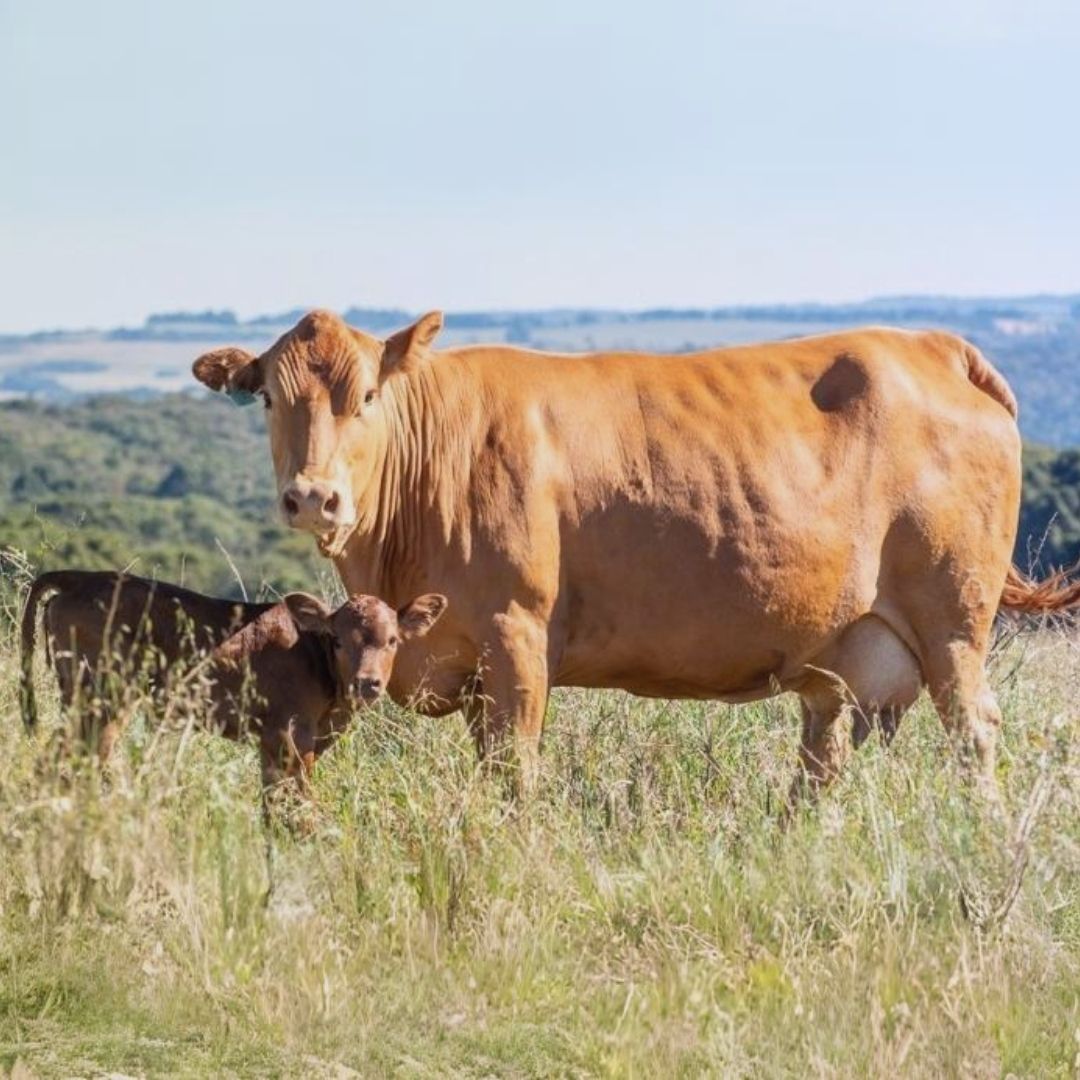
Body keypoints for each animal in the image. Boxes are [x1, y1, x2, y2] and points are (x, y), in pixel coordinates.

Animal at [20, 570, 446, 806]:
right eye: (338, 640)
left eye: (392, 640)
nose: (367, 682)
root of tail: (81, 578)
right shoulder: (287, 734)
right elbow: (298, 805)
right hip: (100, 701)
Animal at [192, 311, 1080, 802]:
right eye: (268, 397)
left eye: (368, 395)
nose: (313, 498)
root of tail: (932, 347)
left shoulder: (517, 637)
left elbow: (514, 773)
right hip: (844, 648)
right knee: (822, 754)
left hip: (953, 618)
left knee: (973, 731)